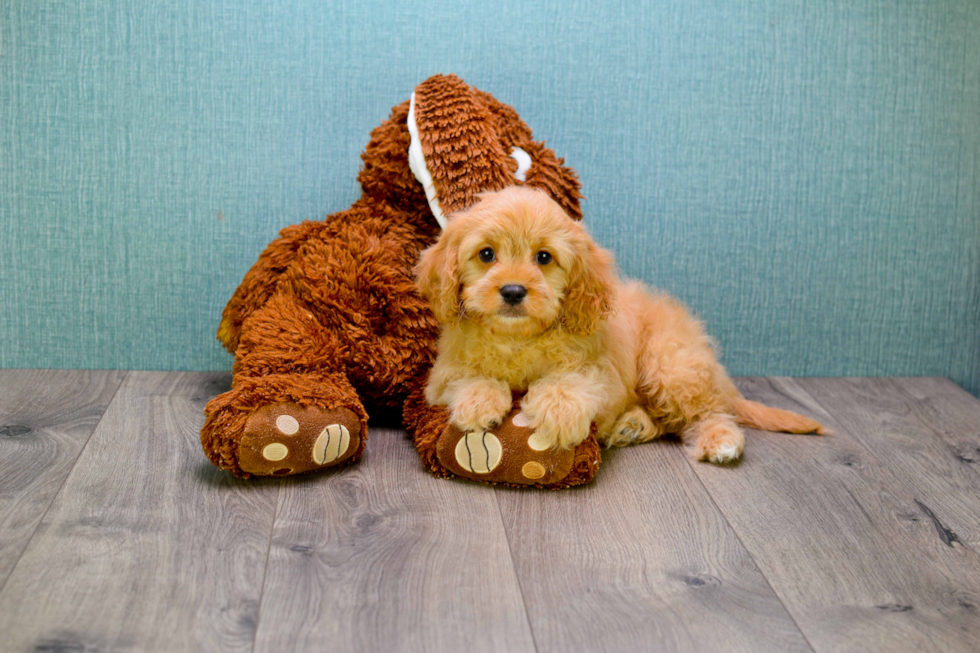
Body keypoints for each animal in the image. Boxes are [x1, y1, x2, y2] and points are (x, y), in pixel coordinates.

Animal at [414, 183, 828, 460]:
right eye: (486, 254)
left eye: (544, 258)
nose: (514, 291)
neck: (518, 337)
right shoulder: (440, 376)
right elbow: (469, 377)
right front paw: (479, 402)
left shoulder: (603, 371)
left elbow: (574, 381)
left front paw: (558, 412)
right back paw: (634, 426)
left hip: (670, 366)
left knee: (707, 412)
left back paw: (720, 440)